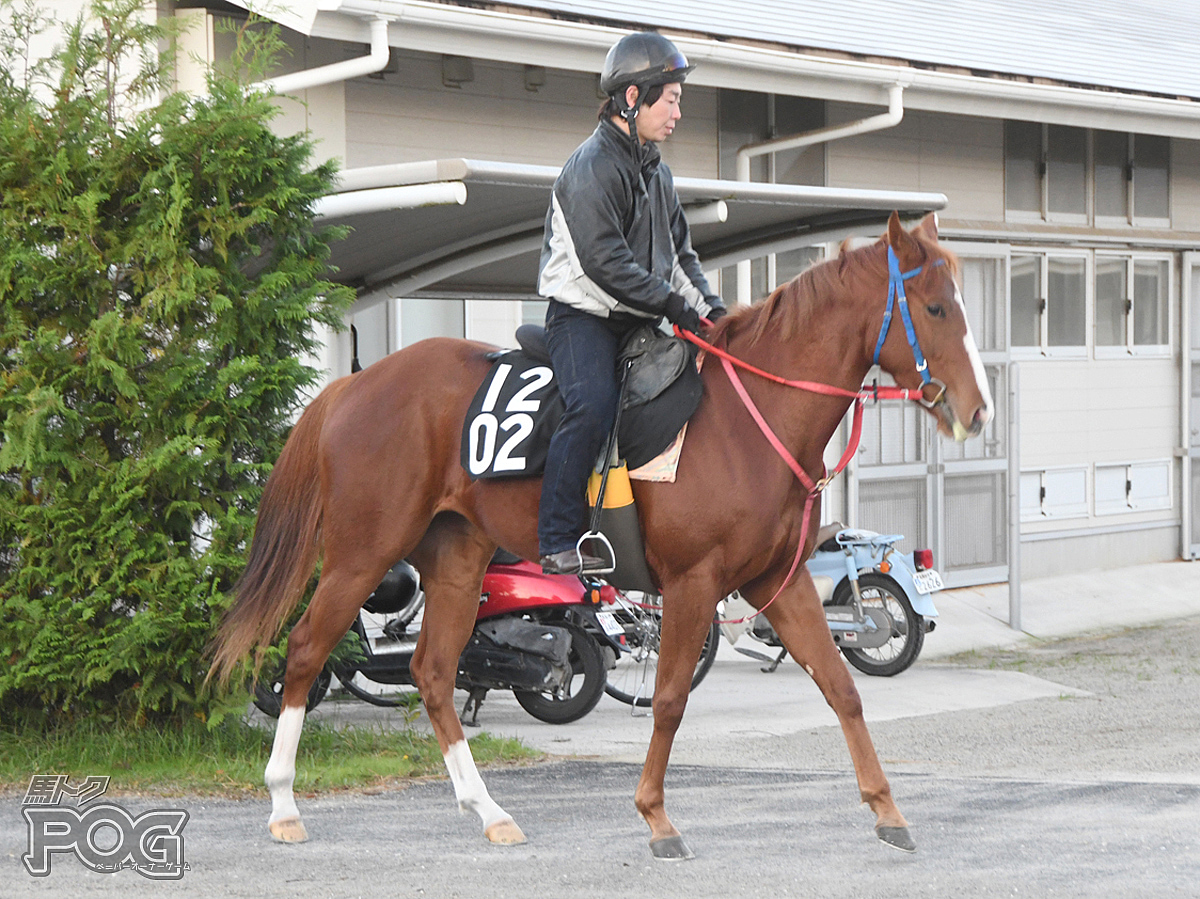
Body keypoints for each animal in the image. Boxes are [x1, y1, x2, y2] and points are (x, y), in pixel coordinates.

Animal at [213, 210, 993, 854]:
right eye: (934, 306)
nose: (977, 409)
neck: (747, 419)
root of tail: (355, 383)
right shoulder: (692, 584)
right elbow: (671, 698)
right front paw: (656, 816)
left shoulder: (779, 577)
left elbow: (842, 687)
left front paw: (887, 810)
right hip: (362, 551)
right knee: (306, 649)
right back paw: (283, 803)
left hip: (456, 557)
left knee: (432, 670)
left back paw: (488, 809)